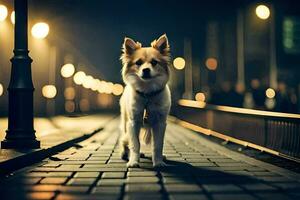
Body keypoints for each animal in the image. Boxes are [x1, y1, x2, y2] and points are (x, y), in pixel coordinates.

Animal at [119, 34, 171, 167]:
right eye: (138, 63)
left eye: (154, 62)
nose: (146, 70)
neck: (147, 93)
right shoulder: (133, 123)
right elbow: (135, 144)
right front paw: (133, 161)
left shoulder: (160, 123)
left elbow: (157, 145)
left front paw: (158, 162)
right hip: (125, 122)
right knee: (125, 139)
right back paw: (125, 153)